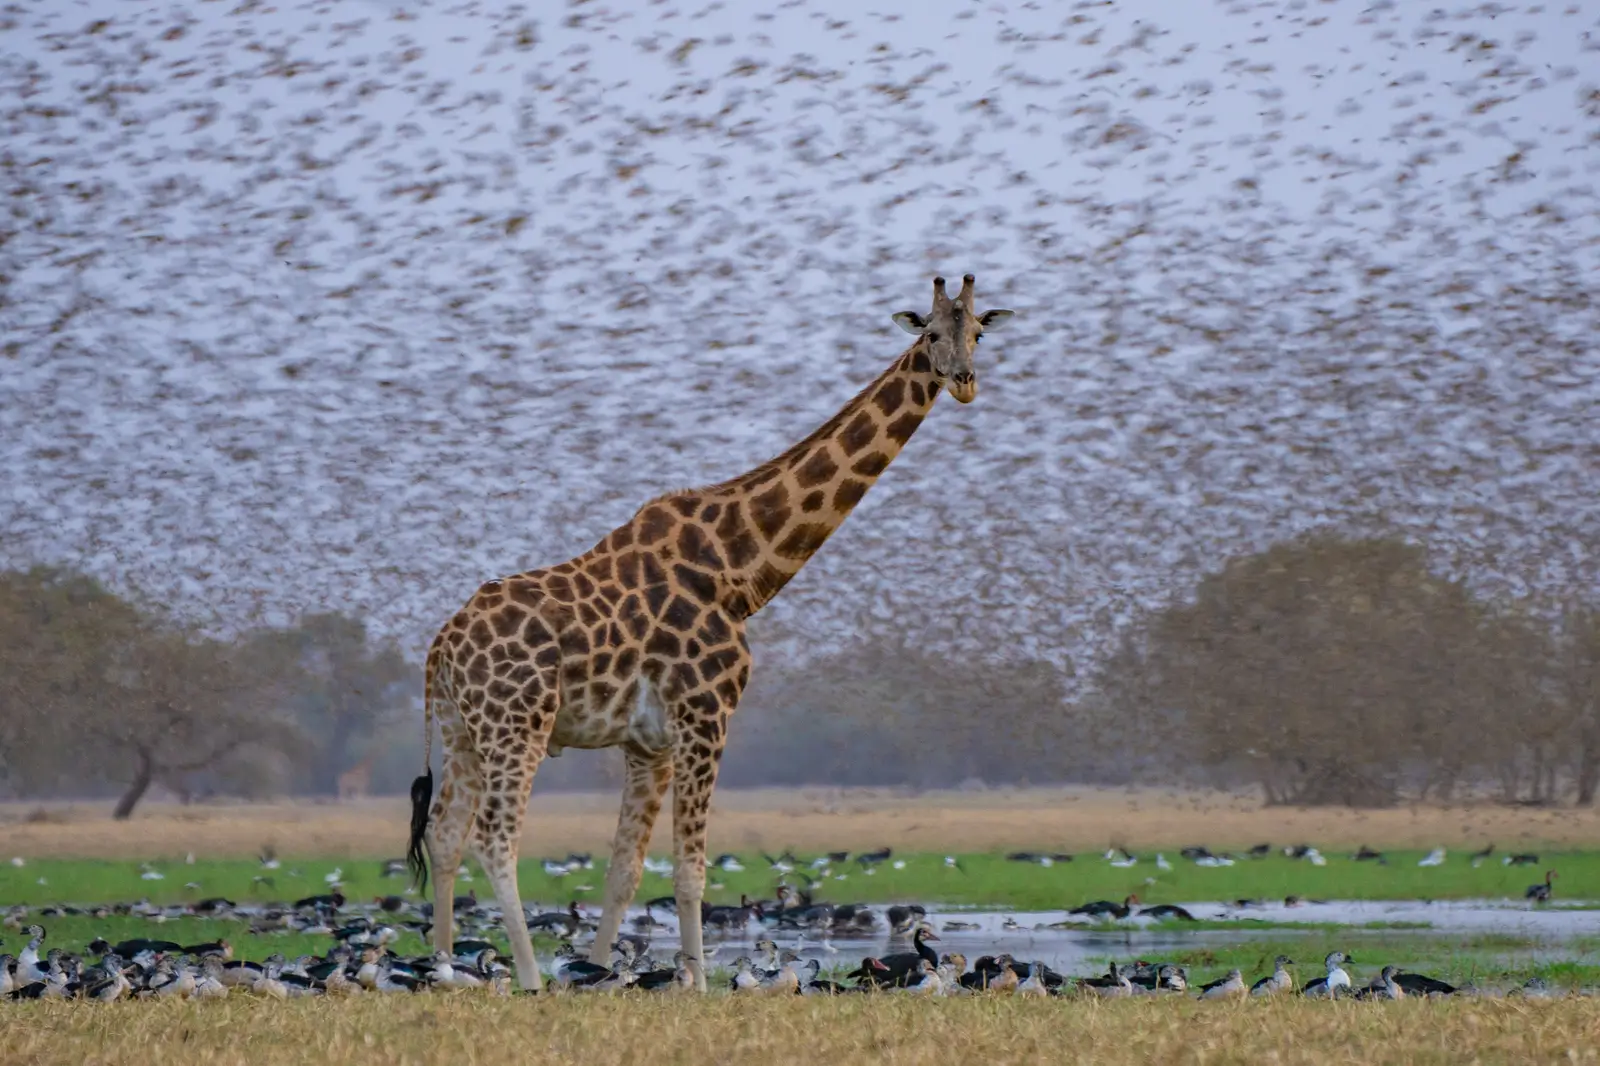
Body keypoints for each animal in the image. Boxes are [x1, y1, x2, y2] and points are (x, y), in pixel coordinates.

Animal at [404, 274, 1013, 992]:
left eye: (979, 333)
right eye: (932, 334)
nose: (965, 381)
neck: (739, 566)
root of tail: (441, 647)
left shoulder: (650, 744)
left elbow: (625, 869)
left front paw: (602, 971)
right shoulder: (707, 715)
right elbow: (691, 870)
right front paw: (693, 985)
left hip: (461, 730)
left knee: (445, 833)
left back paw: (445, 966)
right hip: (516, 724)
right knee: (496, 837)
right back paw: (526, 976)